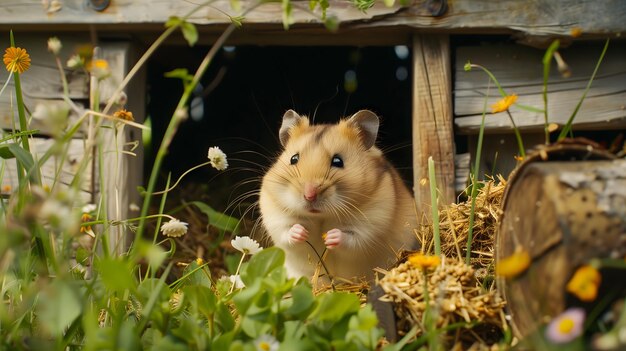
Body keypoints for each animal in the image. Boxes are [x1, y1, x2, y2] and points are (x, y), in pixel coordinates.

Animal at [256, 110, 416, 284]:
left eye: (338, 161)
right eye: (294, 159)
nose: (309, 195)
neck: (321, 216)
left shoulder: (371, 225)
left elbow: (353, 239)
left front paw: (331, 236)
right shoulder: (275, 216)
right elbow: (286, 232)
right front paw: (301, 232)